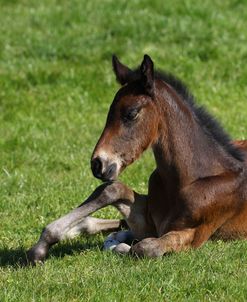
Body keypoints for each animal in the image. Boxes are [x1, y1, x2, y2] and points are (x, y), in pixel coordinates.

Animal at [27, 55, 247, 264]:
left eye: (131, 113)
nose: (98, 164)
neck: (192, 179)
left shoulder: (195, 233)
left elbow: (143, 248)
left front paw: (119, 245)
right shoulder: (148, 221)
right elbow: (112, 189)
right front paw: (42, 245)